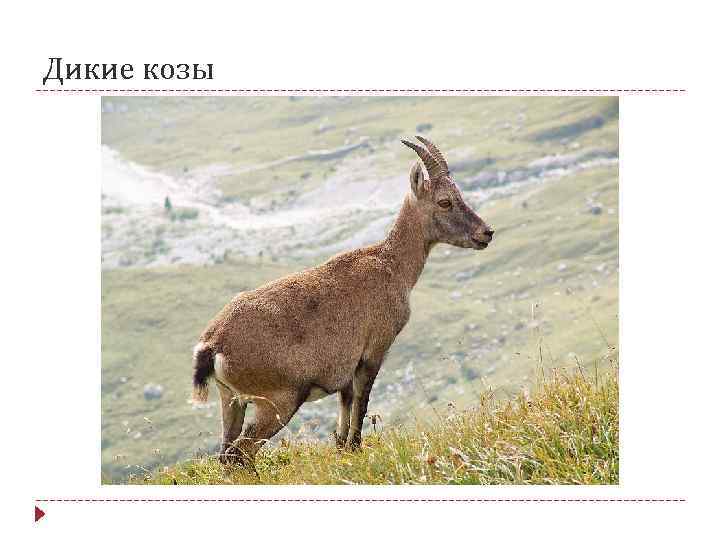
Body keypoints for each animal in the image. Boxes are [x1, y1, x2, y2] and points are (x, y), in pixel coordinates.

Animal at [192, 136, 494, 466]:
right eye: (444, 201)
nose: (486, 233)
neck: (391, 265)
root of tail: (212, 344)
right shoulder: (374, 350)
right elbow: (362, 403)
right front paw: (358, 448)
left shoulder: (346, 368)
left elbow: (344, 410)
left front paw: (344, 449)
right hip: (278, 400)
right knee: (239, 454)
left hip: (231, 400)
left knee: (226, 452)